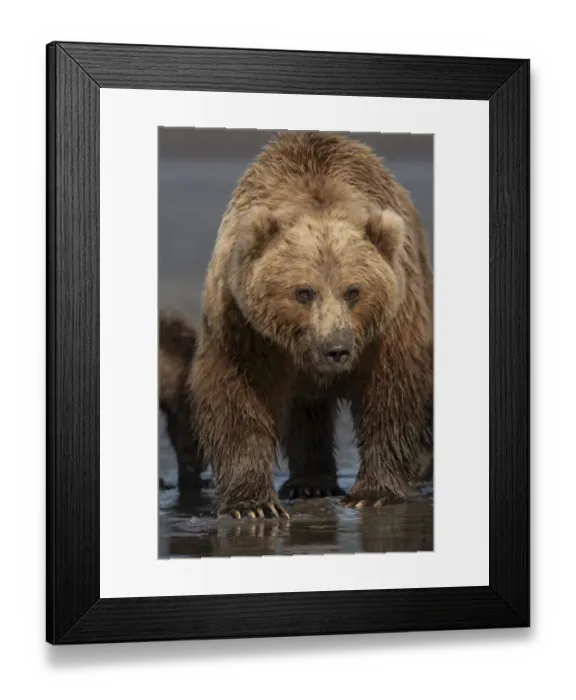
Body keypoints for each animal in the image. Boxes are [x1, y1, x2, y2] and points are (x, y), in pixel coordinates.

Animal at [188, 130, 433, 519]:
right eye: (303, 292)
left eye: (353, 291)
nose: (336, 349)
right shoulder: (244, 325)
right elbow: (235, 395)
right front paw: (253, 504)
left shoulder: (390, 323)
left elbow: (391, 389)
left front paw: (373, 491)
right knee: (305, 409)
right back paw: (310, 482)